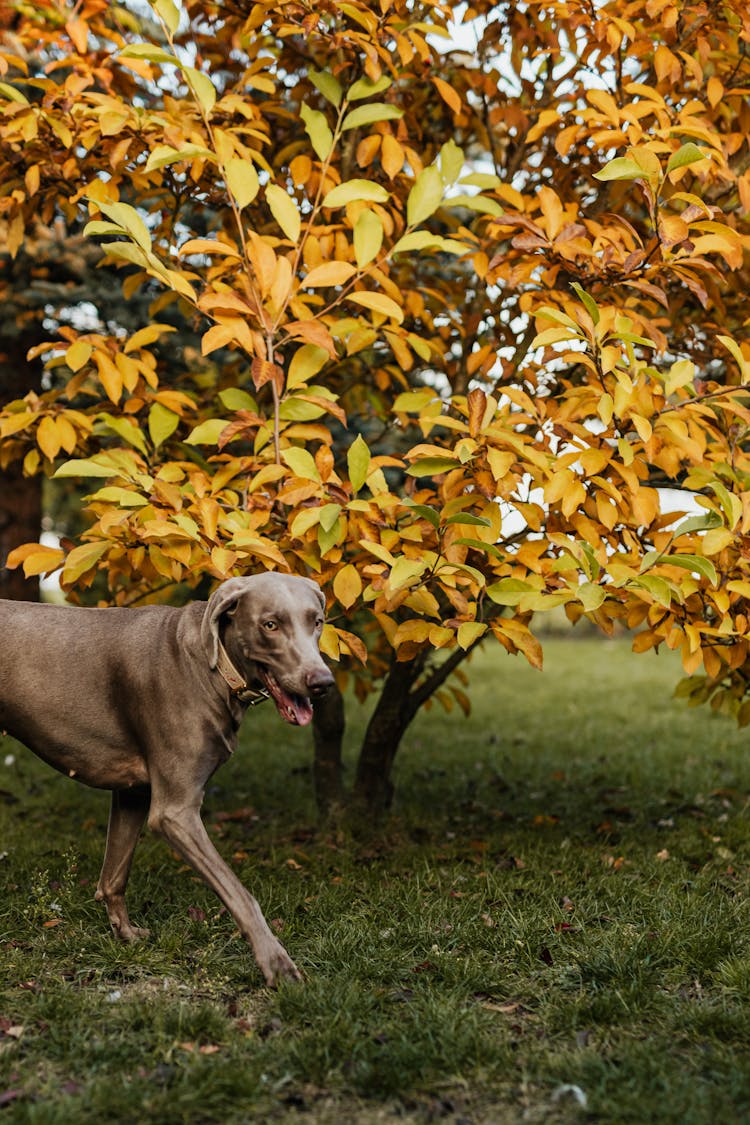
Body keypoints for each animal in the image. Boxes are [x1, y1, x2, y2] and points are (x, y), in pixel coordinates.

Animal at [0, 576, 335, 990]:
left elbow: (114, 876)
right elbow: (241, 894)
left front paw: (126, 935)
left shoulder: (133, 793)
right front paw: (277, 963)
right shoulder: (175, 812)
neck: (210, 669)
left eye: (317, 621)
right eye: (270, 624)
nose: (323, 682)